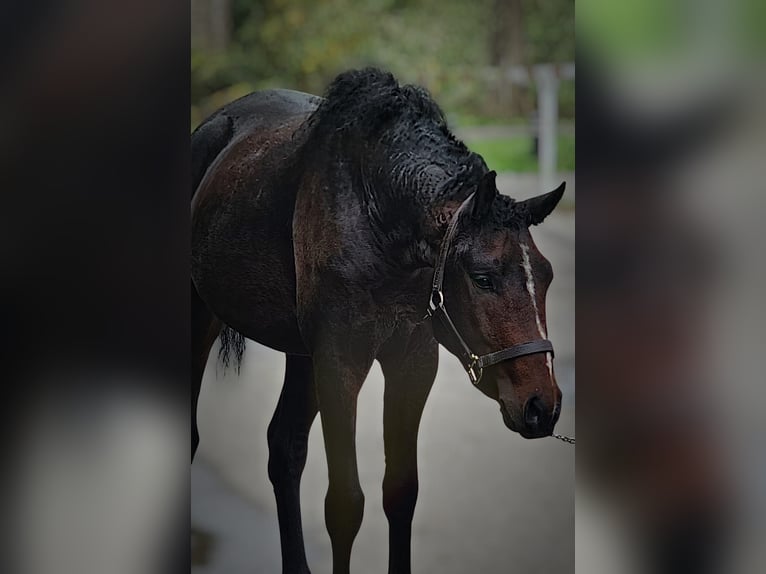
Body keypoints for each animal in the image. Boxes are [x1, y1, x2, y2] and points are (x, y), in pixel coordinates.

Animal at [191, 68, 565, 574]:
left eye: (546, 277)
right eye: (483, 277)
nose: (542, 405)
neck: (376, 213)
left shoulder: (413, 363)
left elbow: (400, 494)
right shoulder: (340, 363)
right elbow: (345, 504)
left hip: (302, 355)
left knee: (284, 449)